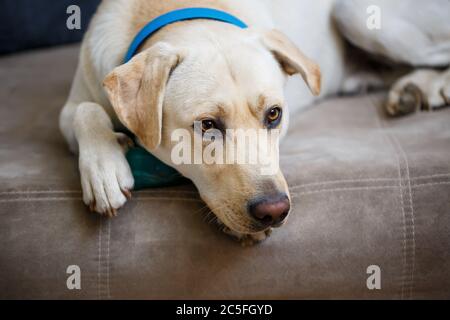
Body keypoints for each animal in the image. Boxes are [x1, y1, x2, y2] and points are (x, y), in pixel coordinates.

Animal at [60, 0, 450, 244]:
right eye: (207, 125)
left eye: (274, 114)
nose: (274, 212)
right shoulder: (72, 104)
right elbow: (85, 110)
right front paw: (103, 170)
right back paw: (410, 88)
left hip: (356, 13)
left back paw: (428, 86)